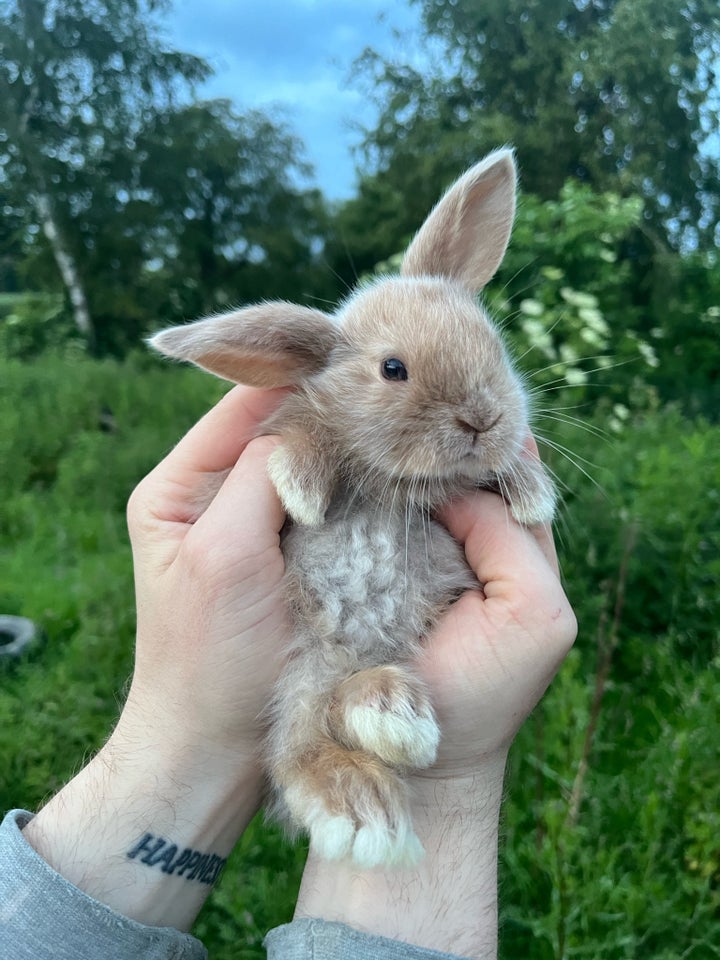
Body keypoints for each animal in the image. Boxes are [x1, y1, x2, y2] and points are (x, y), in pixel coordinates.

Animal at [149, 148, 556, 872]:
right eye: (393, 369)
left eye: (492, 343)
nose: (482, 418)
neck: (397, 485)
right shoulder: (286, 429)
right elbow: (304, 433)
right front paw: (303, 487)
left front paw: (531, 491)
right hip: (306, 666)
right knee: (299, 745)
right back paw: (371, 790)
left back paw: (393, 724)